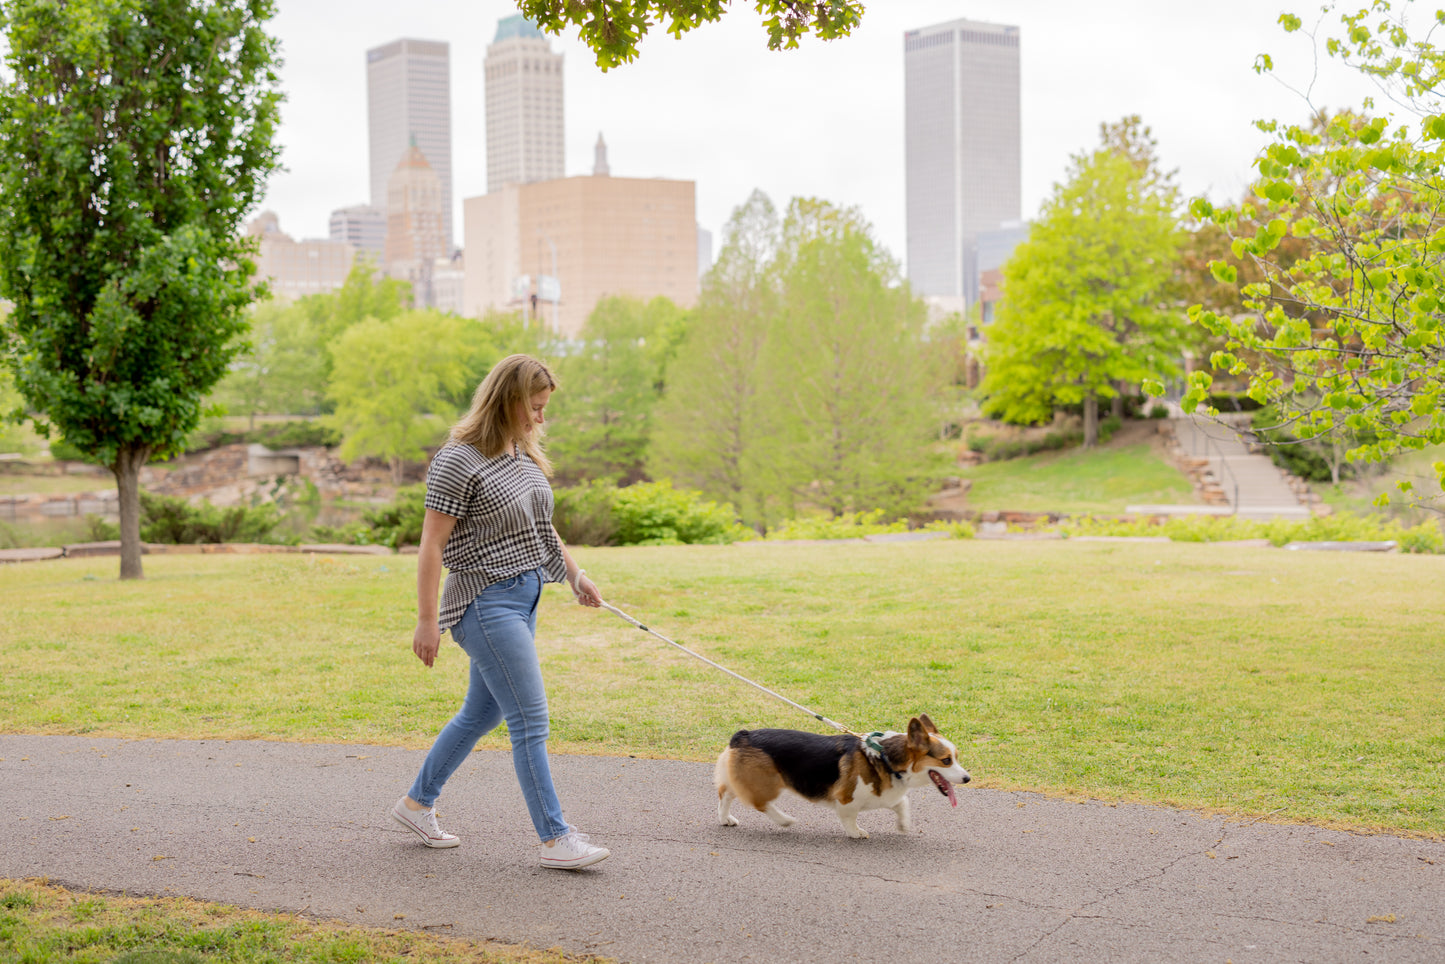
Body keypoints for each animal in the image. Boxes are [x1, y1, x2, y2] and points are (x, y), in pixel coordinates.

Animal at [713, 713, 971, 838]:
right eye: (946, 760)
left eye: (957, 756)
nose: (968, 779)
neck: (884, 758)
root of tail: (742, 735)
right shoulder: (846, 799)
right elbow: (849, 817)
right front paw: (856, 833)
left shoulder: (886, 795)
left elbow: (902, 804)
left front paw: (903, 825)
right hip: (769, 784)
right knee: (760, 803)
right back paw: (785, 820)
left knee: (726, 794)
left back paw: (726, 819)